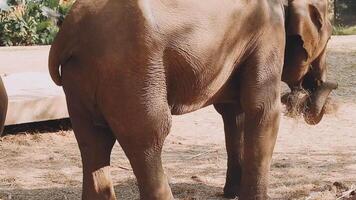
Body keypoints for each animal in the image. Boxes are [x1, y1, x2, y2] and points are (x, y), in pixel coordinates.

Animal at [49, 0, 336, 199]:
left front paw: (231, 193)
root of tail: (68, 32)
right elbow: (262, 109)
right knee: (149, 136)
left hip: (80, 78)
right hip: (131, 70)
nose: (319, 87)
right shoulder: (268, 33)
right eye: (330, 36)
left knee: (93, 141)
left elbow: (234, 113)